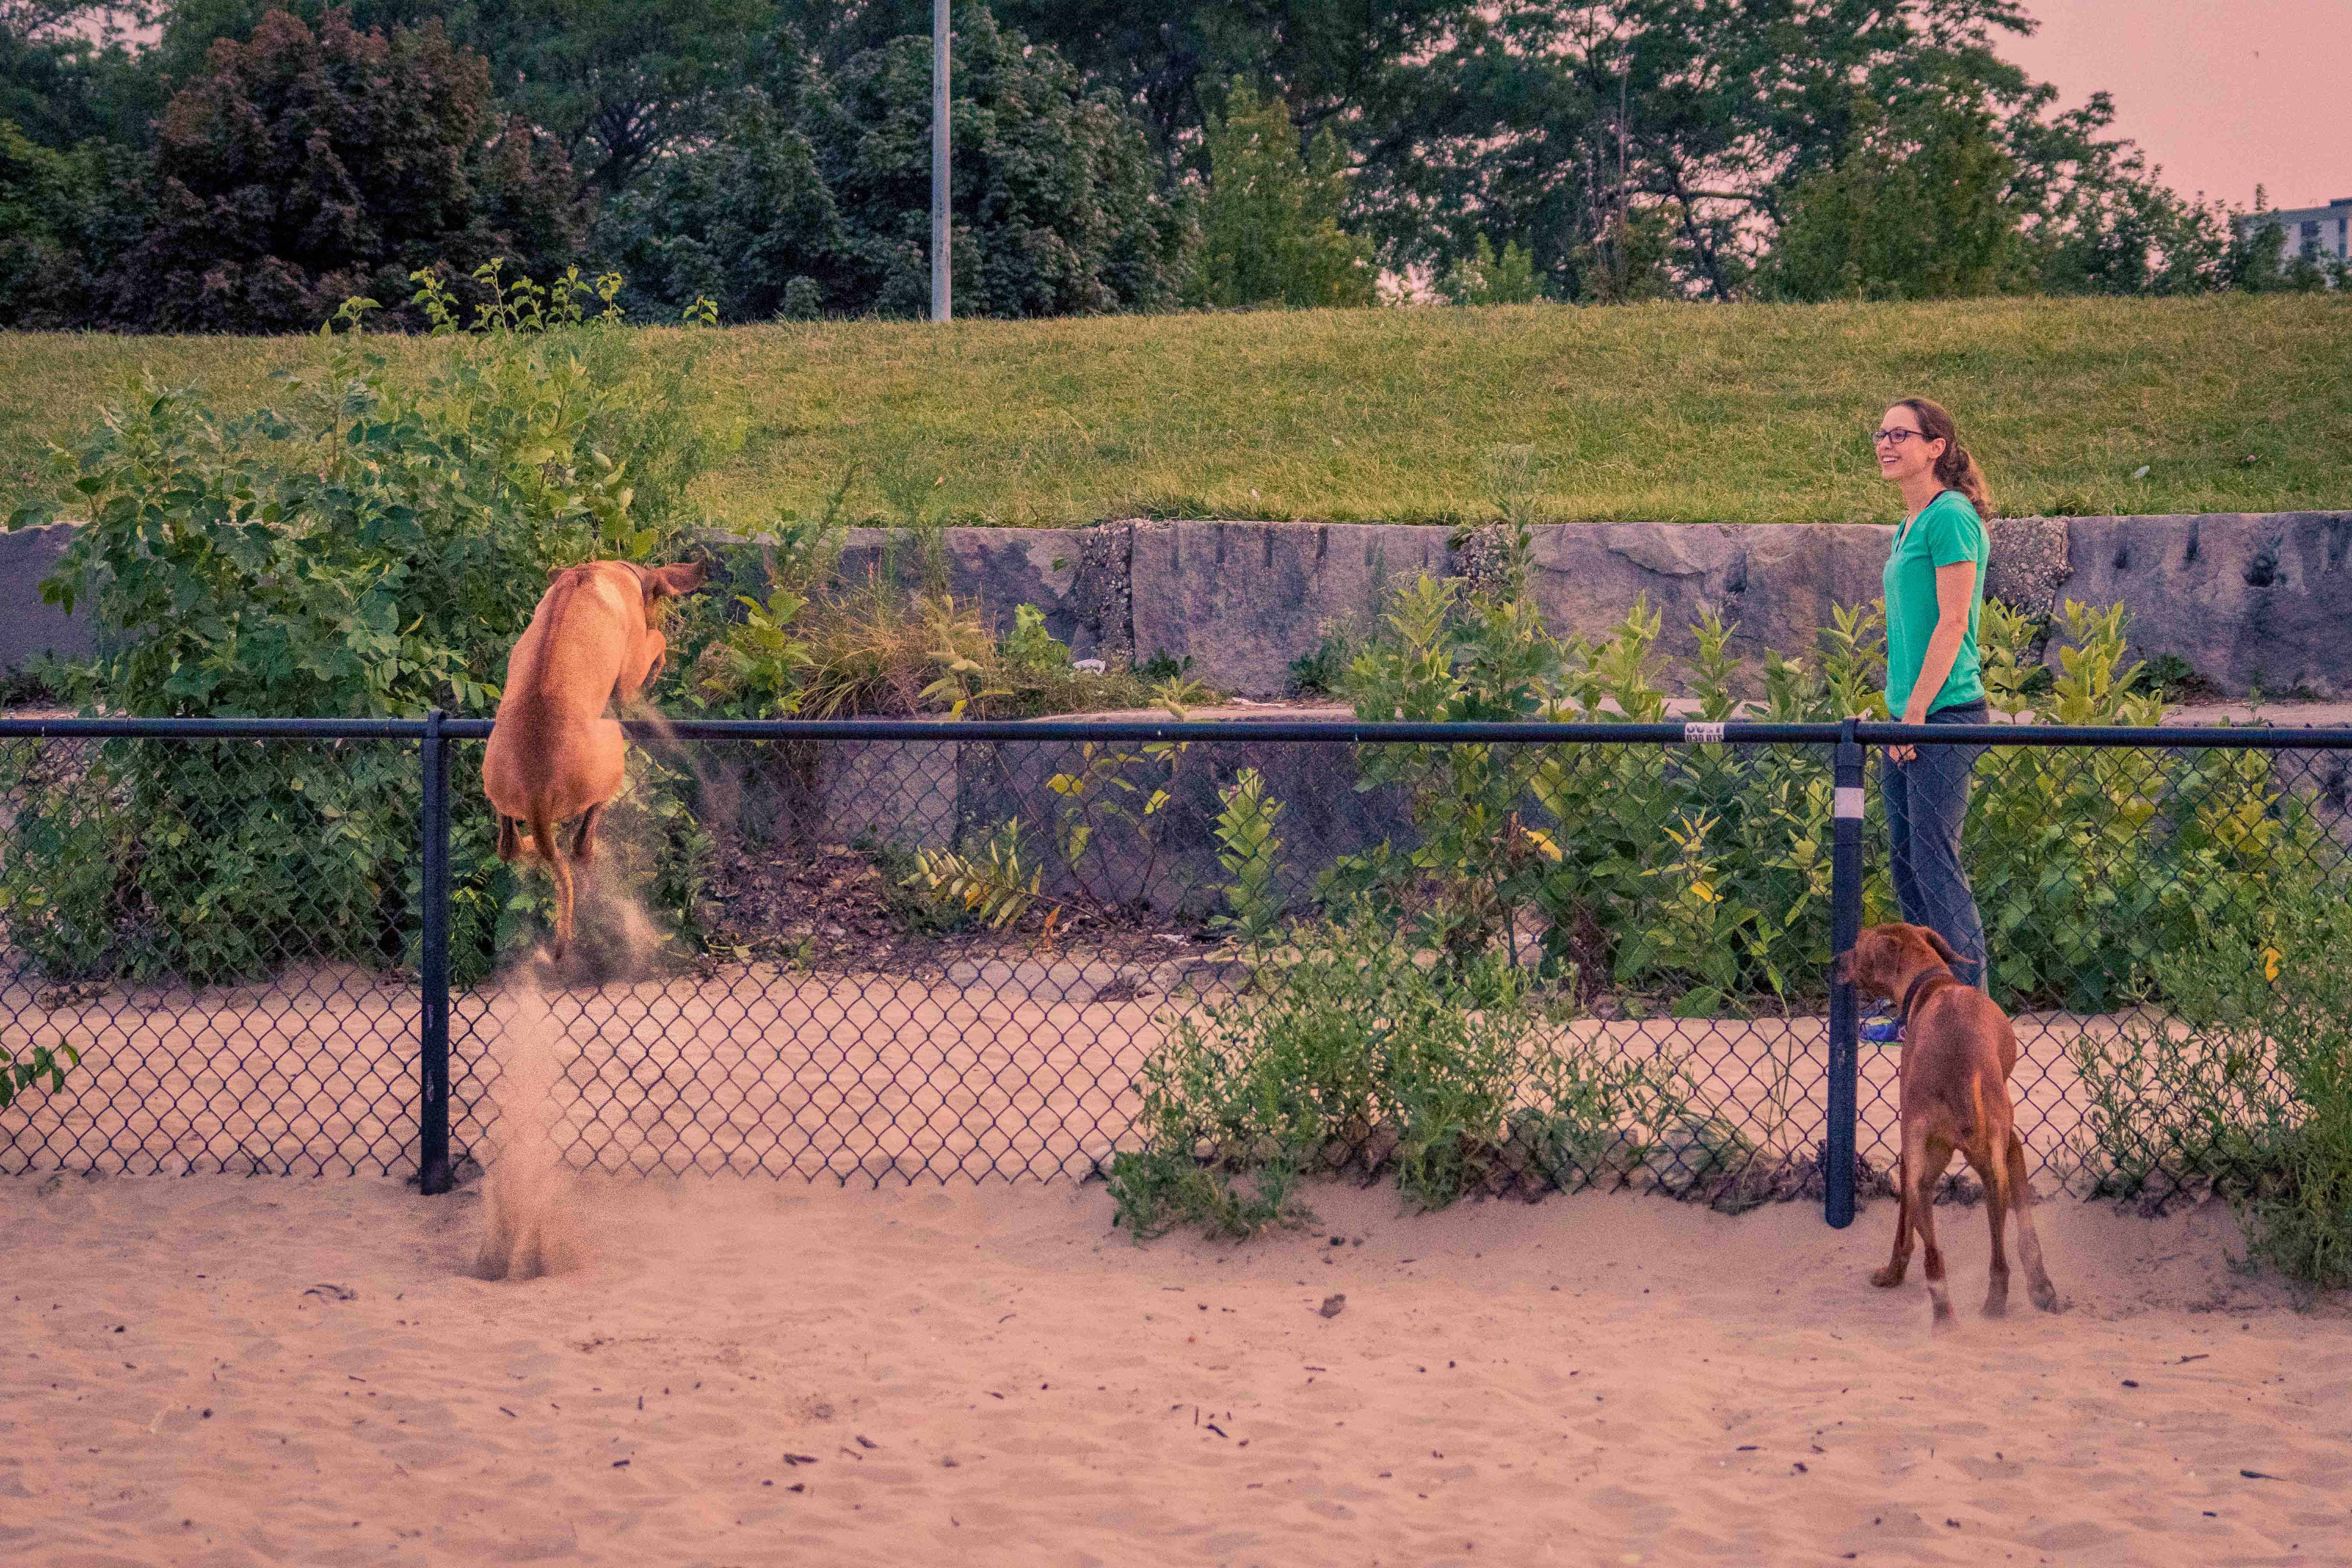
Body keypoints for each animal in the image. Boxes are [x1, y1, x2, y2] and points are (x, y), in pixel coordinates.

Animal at [475, 557, 696, 964]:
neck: (600, 570)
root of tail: (537, 792)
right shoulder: (629, 673)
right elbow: (656, 643)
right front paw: (658, 666)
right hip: (612, 750)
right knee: (584, 837)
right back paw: (585, 847)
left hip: (497, 781)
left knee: (508, 845)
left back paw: (527, 843)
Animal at [1835, 926, 2060, 1335]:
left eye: (1857, 948)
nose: (1833, 962)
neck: (1935, 983)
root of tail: (1957, 1070)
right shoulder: (2011, 1150)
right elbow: (2027, 1236)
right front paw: (2042, 1289)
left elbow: (1903, 1233)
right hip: (1976, 1174)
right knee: (1989, 1260)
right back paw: (1983, 1309)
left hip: (1927, 1175)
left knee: (1935, 1257)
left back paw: (1947, 1318)